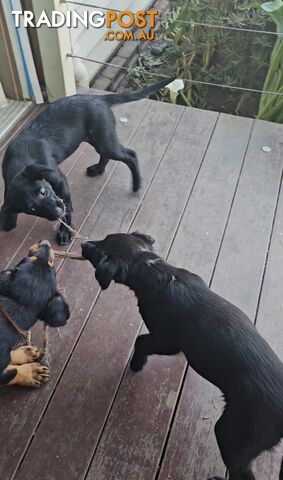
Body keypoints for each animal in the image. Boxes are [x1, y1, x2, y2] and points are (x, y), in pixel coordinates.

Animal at [0, 79, 174, 246]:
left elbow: (68, 207)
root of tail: (99, 98)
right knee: (107, 156)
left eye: (43, 191)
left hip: (105, 141)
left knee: (131, 155)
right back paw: (98, 170)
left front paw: (65, 231)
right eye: (32, 209)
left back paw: (136, 185)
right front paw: (8, 218)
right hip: (97, 139)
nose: (56, 213)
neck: (19, 160)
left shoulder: (60, 180)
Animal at [0, 240, 70, 386]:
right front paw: (33, 373)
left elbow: (12, 370)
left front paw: (29, 364)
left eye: (50, 264)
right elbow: (12, 371)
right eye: (33, 258)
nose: (46, 242)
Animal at [81, 232, 283, 480]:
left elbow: (141, 341)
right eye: (106, 237)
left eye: (99, 253)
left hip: (233, 435)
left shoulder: (165, 341)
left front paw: (137, 364)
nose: (83, 244)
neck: (153, 268)